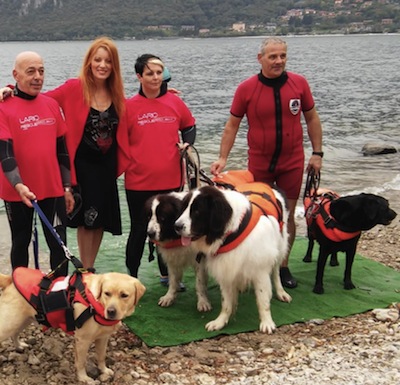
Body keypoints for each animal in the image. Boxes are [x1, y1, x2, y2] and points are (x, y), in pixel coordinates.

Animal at [175, 183, 290, 332]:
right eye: (184, 208)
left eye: (197, 211)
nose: (176, 226)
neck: (231, 231)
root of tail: (270, 185)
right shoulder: (226, 269)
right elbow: (226, 302)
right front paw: (220, 321)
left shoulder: (260, 270)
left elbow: (263, 299)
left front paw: (267, 322)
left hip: (279, 246)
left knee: (276, 271)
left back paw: (281, 292)